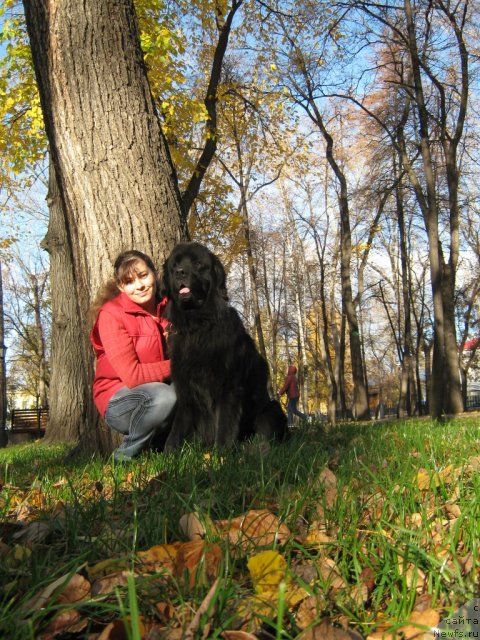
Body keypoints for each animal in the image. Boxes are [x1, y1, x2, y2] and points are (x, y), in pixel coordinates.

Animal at [161, 241, 288, 450]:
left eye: (198, 264)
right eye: (175, 265)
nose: (180, 272)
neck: (198, 325)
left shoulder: (228, 386)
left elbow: (225, 425)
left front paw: (222, 454)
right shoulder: (185, 388)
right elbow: (176, 430)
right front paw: (169, 454)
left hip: (271, 408)